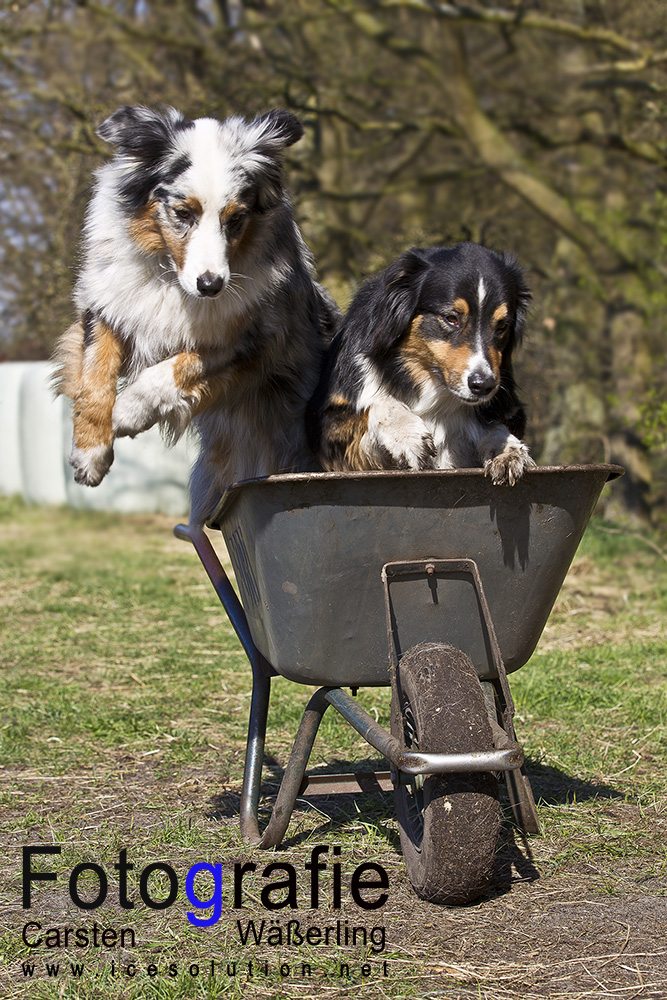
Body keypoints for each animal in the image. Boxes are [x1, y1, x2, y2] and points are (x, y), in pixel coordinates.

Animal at [310, 238, 536, 480]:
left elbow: (495, 424)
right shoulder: (325, 427)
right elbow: (375, 404)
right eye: (451, 318)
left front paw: (507, 448)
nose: (484, 385)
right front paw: (407, 433)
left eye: (502, 326)